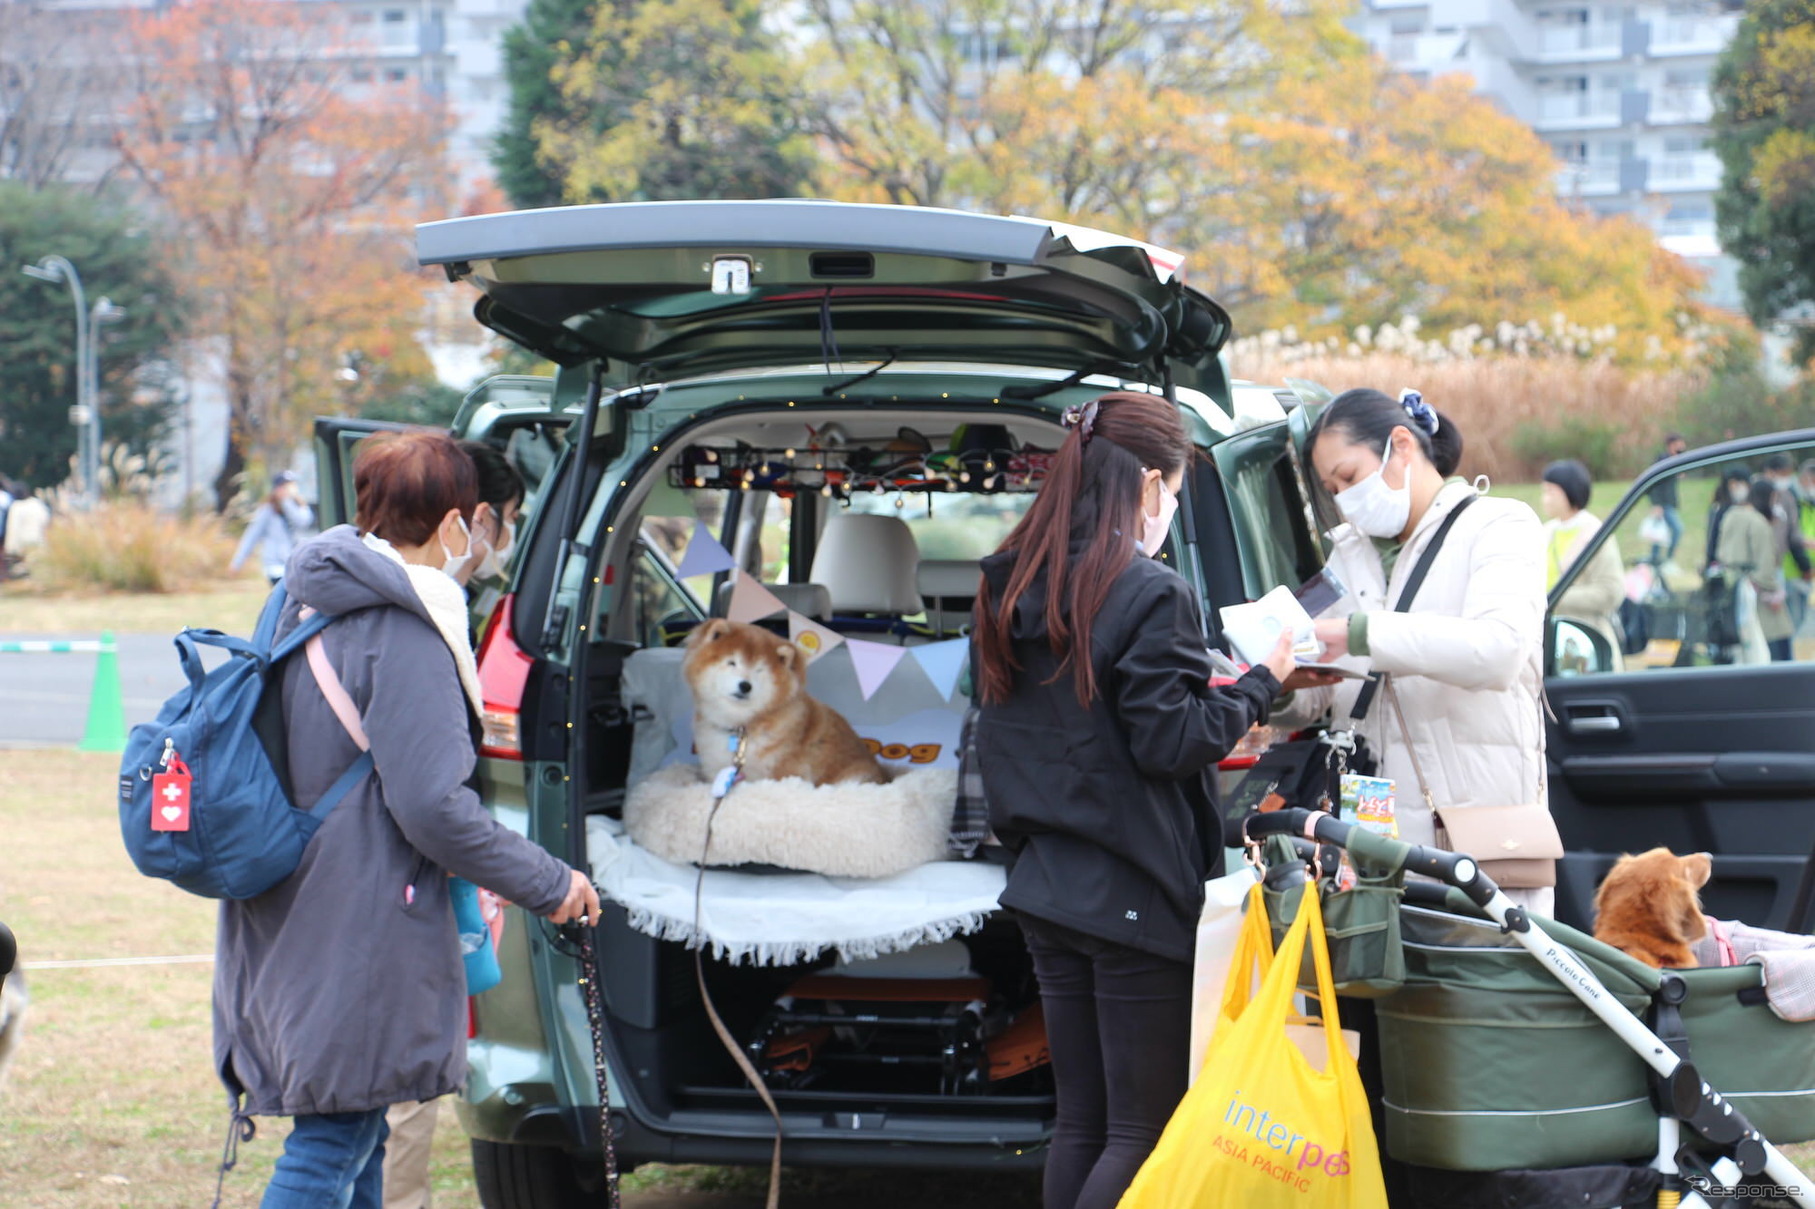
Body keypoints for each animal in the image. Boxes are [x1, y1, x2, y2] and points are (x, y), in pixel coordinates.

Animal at [682, 617, 885, 787]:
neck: (741, 727)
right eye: (732, 663)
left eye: (760, 670)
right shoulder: (717, 769)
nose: (745, 685)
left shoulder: (784, 771)